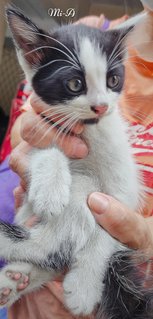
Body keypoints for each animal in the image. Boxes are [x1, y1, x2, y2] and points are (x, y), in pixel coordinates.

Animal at [0, 6, 151, 319]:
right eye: (74, 84)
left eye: (113, 80)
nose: (101, 106)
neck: (90, 134)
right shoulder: (39, 133)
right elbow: (44, 149)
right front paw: (50, 188)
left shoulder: (123, 192)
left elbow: (106, 232)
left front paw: (84, 286)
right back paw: (14, 277)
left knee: (55, 250)